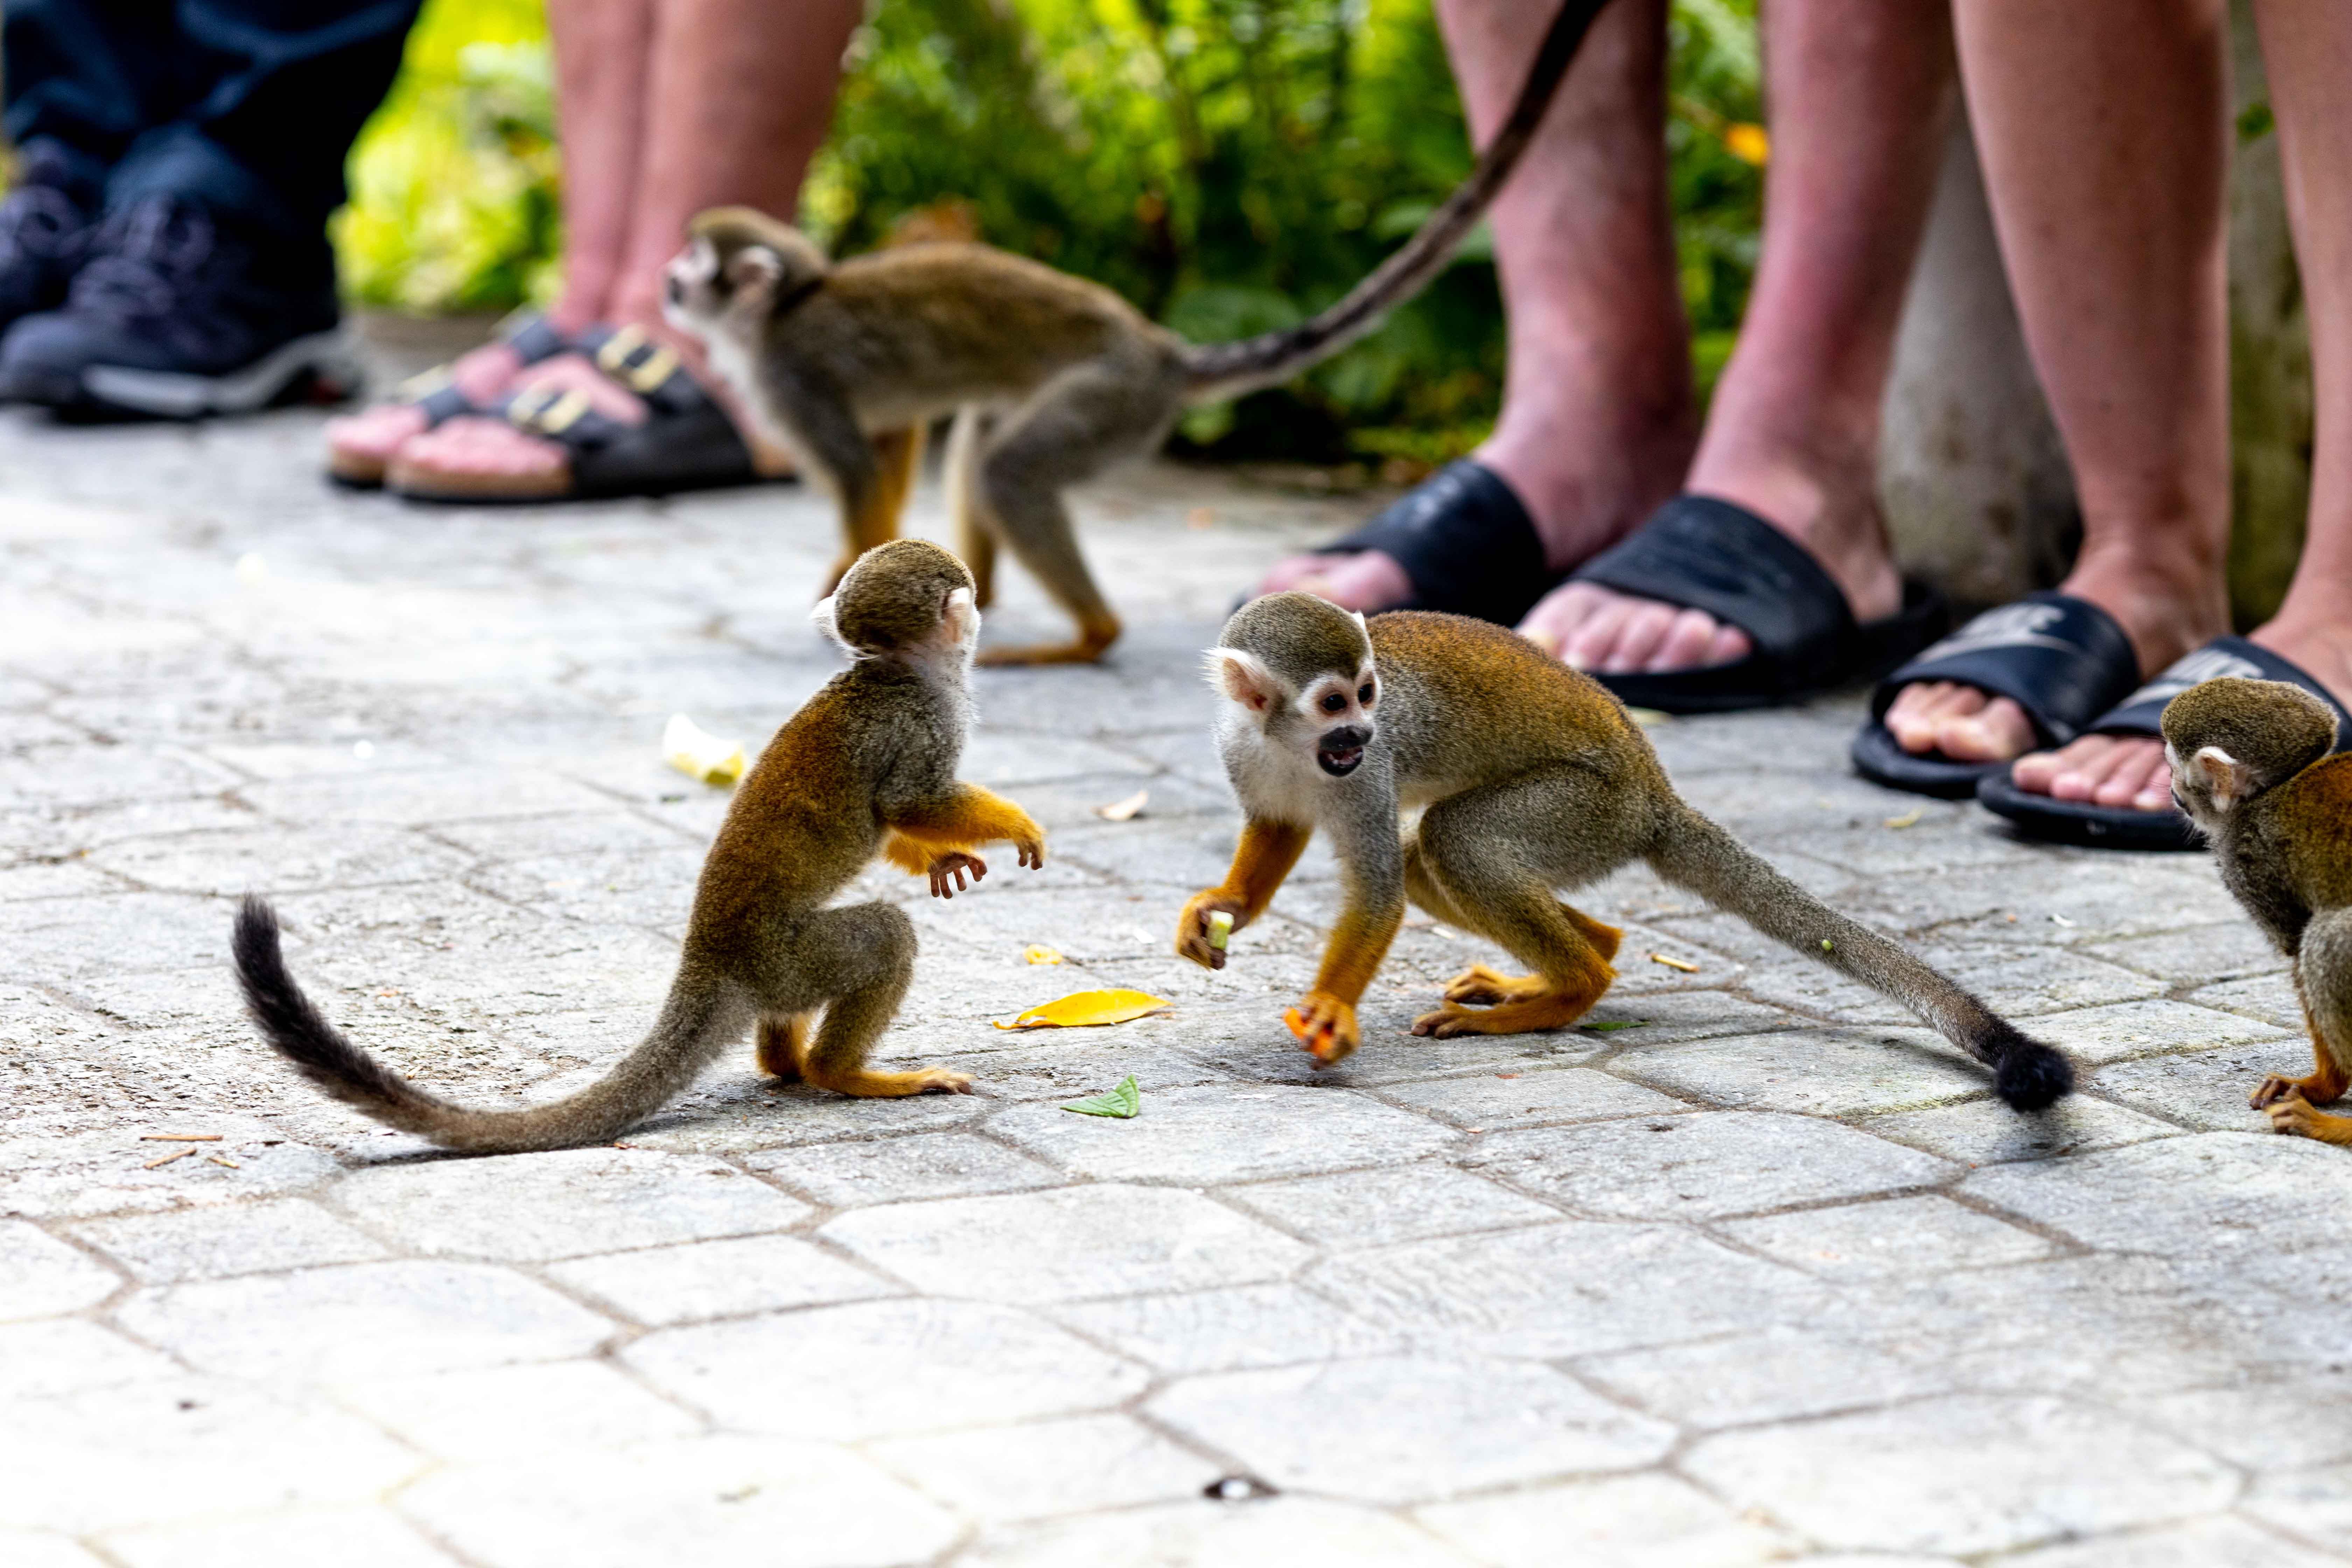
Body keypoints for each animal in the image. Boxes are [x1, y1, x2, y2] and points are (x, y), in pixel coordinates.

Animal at [231, 540, 1047, 1155]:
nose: (979, 614)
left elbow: (903, 817)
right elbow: (909, 801)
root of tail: (706, 955)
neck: (900, 671)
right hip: (787, 956)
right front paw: (1014, 826)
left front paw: (940, 857)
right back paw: (838, 1073)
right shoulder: (924, 721)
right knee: (883, 935)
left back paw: (785, 1063)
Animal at [658, 0, 1609, 666]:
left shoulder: (786, 375)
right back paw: (980, 597)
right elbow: (890, 443)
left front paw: (845, 596)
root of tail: (1164, 353)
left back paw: (1088, 636)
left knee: (1009, 469)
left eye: (691, 267)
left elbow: (857, 472)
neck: (776, 316)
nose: (666, 285)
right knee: (980, 445)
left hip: (1114, 397)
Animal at [1173, 593, 2076, 1112]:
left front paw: (1331, 1007)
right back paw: (1575, 963)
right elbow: (1280, 828)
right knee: (1435, 852)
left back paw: (1572, 987)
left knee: (1451, 840)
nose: (1361, 732)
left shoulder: (1371, 773)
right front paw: (1226, 907)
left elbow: (1379, 890)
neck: (1289, 743)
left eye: (1368, 695)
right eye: (1334, 703)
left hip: (1587, 810)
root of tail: (1654, 793)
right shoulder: (1243, 750)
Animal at [2161, 676, 2352, 1146]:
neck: (2267, 795)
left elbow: (2297, 945)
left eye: (2172, 766)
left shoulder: (2249, 861)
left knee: (2328, 937)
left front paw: (2321, 1086)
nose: (2169, 788)